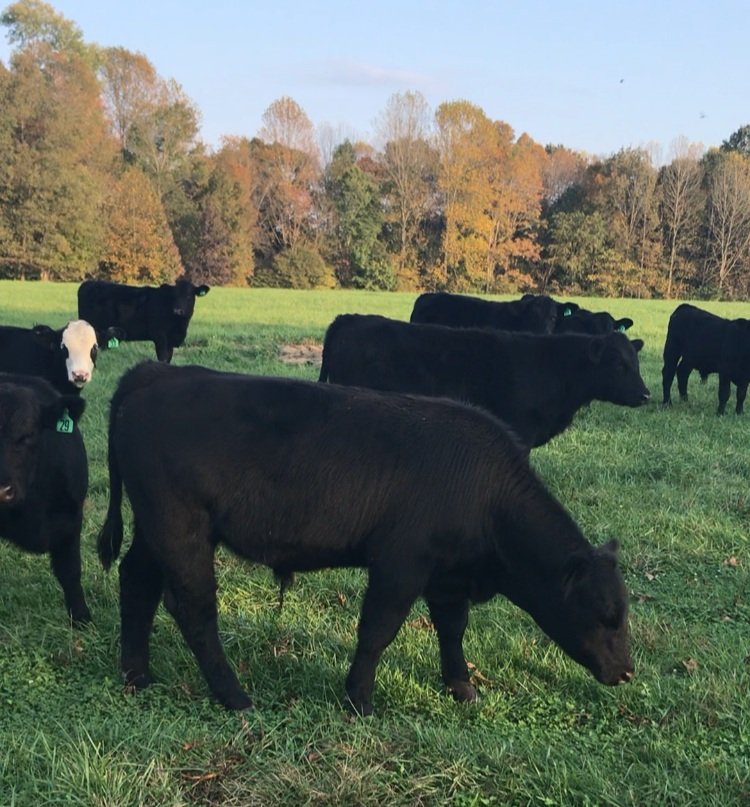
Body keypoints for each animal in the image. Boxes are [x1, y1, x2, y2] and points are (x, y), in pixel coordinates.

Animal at [77, 277, 210, 363]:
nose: (177, 310)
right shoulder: (159, 335)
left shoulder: (171, 341)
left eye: (189, 296)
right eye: (174, 295)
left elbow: (169, 358)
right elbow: (163, 358)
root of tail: (88, 283)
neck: (179, 326)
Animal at [97, 361, 633, 715]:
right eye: (606, 616)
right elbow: (378, 630)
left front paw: (461, 686)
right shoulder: (401, 563)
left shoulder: (447, 575)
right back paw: (234, 696)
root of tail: (155, 373)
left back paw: (136, 674)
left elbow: (452, 627)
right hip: (179, 527)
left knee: (136, 582)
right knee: (193, 608)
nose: (627, 671)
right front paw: (360, 699)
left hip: (153, 528)